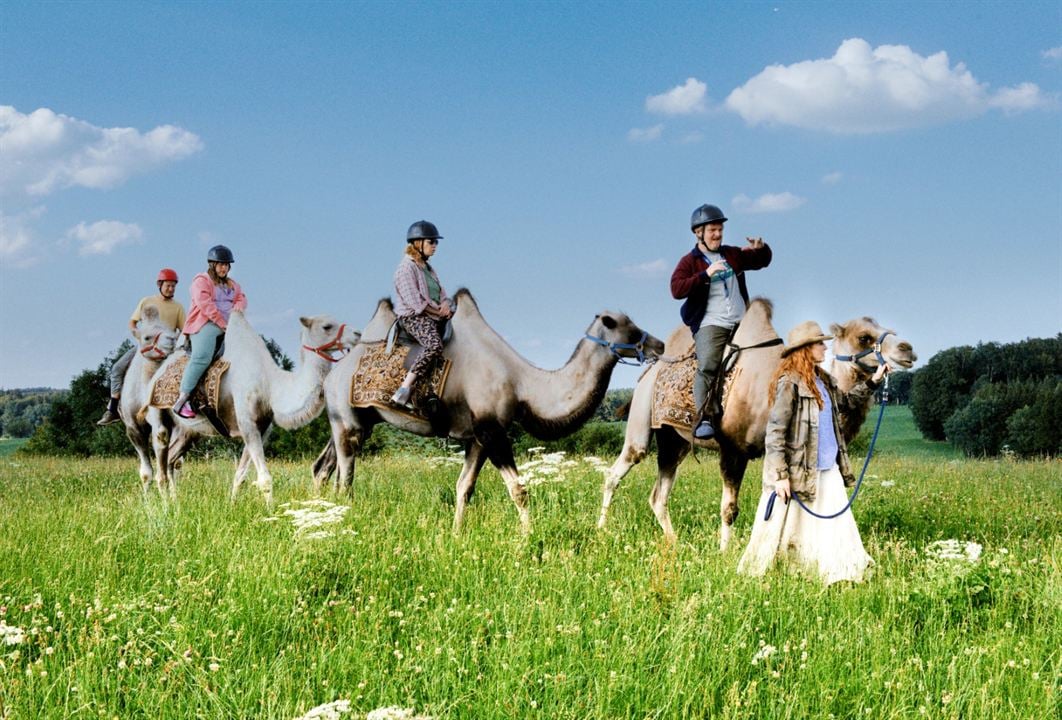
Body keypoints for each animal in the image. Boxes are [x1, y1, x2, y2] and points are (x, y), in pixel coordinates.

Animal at [145, 307, 361, 501]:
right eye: (327, 326)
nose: (357, 334)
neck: (270, 386)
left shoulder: (262, 428)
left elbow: (239, 477)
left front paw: (232, 505)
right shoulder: (247, 423)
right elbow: (264, 479)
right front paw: (272, 514)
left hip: (188, 432)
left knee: (171, 459)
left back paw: (175, 502)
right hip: (159, 417)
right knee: (160, 468)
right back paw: (164, 506)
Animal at [310, 290, 662, 533]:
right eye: (630, 330)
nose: (659, 346)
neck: (522, 384)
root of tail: (333, 374)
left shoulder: (476, 437)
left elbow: (464, 488)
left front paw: (456, 534)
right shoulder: (493, 431)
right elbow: (519, 490)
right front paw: (528, 537)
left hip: (353, 420)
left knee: (322, 468)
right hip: (348, 421)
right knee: (345, 478)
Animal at [594, 299, 917, 552]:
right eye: (864, 337)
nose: (907, 349)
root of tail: (648, 374)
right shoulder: (732, 449)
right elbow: (730, 509)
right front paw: (725, 553)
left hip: (676, 442)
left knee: (658, 494)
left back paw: (673, 543)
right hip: (641, 424)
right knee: (617, 471)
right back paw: (602, 528)